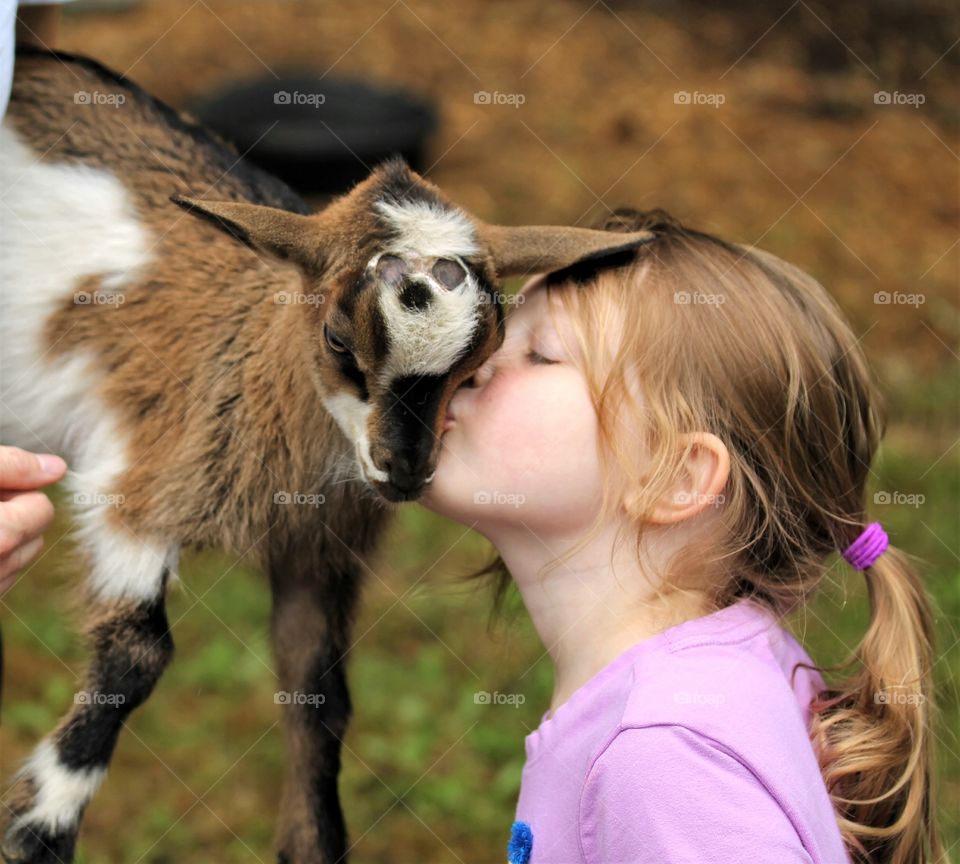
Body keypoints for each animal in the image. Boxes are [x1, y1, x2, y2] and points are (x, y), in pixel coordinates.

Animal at [0, 47, 654, 863]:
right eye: (339, 341)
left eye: (482, 360)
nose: (404, 470)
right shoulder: (144, 483)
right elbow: (136, 654)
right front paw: (39, 826)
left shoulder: (317, 549)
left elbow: (318, 688)